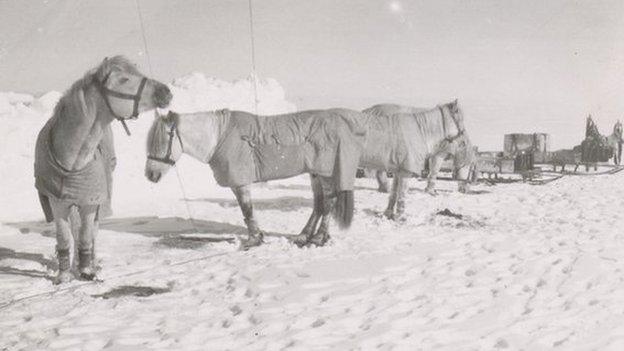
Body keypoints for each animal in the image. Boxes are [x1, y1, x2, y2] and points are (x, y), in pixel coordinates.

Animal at [35, 55, 172, 286]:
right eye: (124, 79)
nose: (166, 91)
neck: (73, 162)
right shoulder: (58, 202)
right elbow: (65, 236)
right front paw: (64, 274)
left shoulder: (91, 202)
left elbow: (86, 234)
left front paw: (86, 270)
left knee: (92, 232)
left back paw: (90, 261)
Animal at [145, 108, 366, 249]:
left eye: (162, 141)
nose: (150, 175)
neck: (219, 137)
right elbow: (246, 210)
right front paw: (257, 237)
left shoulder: (240, 182)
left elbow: (246, 209)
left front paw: (253, 240)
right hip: (315, 173)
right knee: (319, 204)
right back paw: (304, 235)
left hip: (325, 173)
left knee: (328, 203)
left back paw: (319, 238)